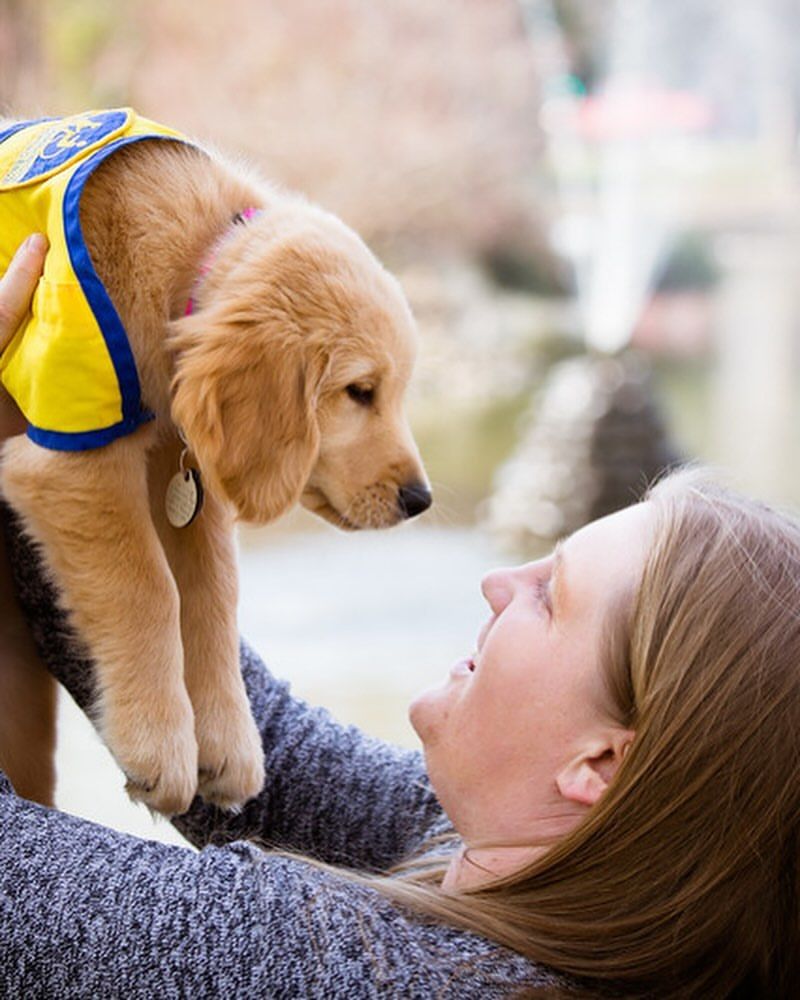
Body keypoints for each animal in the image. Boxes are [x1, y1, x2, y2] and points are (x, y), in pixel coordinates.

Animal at [0, 111, 432, 812]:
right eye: (360, 391)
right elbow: (148, 585)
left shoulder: (184, 466)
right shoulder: (75, 458)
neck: (189, 259)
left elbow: (213, 591)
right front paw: (159, 746)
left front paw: (227, 744)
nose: (421, 500)